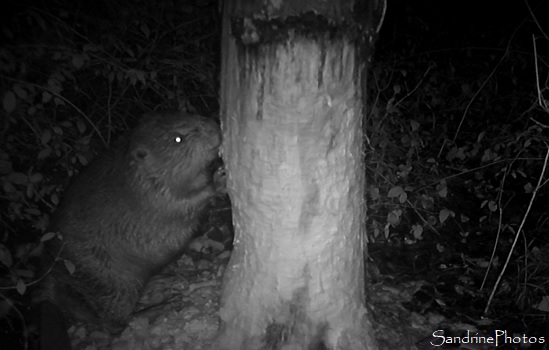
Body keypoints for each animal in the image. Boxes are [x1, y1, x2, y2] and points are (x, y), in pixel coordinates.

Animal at [37, 111, 224, 330]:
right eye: (178, 139)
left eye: (189, 114)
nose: (215, 127)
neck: (135, 174)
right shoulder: (153, 195)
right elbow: (187, 203)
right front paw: (219, 180)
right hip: (109, 280)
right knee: (113, 322)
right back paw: (163, 305)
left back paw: (163, 281)